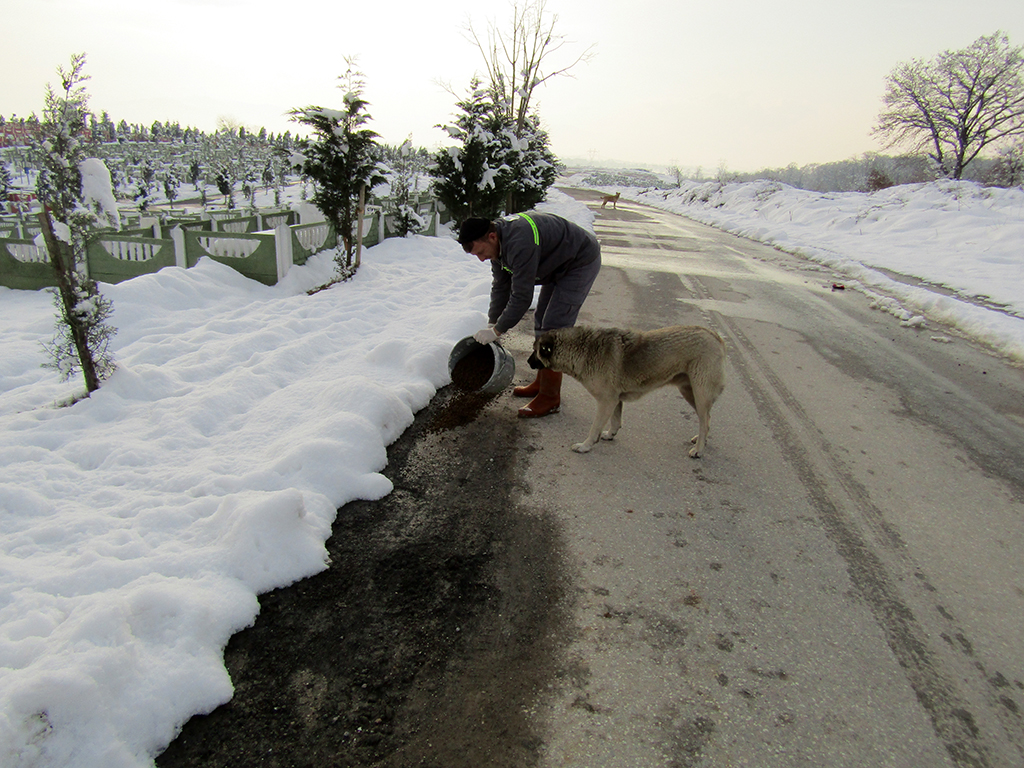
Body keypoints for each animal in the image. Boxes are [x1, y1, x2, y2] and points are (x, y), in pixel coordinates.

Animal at [532, 325, 724, 456]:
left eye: (536, 351)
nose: (528, 361)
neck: (583, 349)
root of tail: (714, 336)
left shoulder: (606, 401)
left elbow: (594, 428)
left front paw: (586, 446)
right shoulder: (615, 399)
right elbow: (616, 420)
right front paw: (610, 434)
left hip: (700, 394)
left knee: (704, 420)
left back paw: (699, 449)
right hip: (689, 392)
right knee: (706, 419)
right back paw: (700, 440)